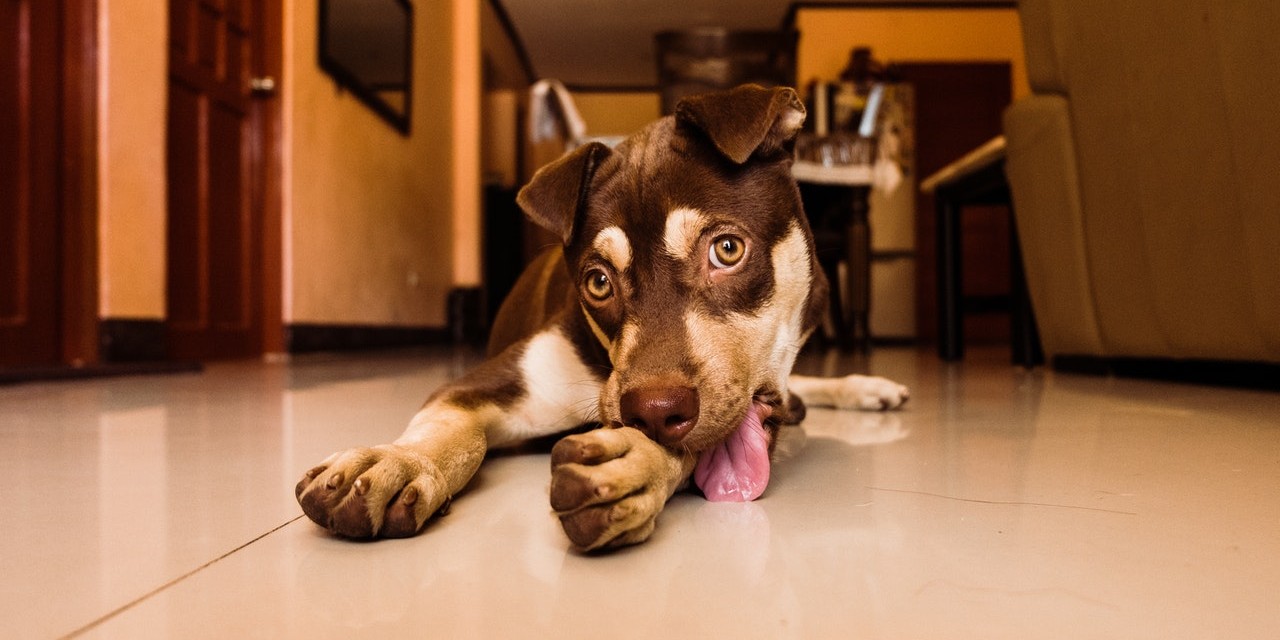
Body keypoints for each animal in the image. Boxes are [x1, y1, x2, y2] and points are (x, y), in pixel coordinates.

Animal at [294, 85, 911, 552]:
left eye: (728, 249)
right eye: (597, 282)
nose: (654, 410)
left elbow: (694, 441)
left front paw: (633, 465)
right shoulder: (482, 384)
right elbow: (450, 429)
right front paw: (397, 461)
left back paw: (863, 386)